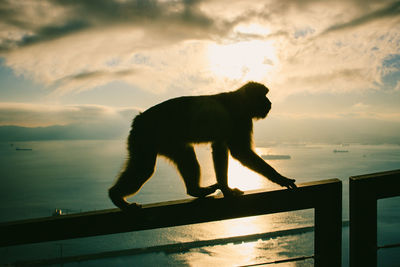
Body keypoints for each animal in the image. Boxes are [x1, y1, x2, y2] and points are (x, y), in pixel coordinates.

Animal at [109, 81, 296, 211]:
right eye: (263, 96)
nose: (270, 102)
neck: (239, 100)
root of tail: (138, 119)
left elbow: (220, 148)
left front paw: (226, 189)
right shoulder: (240, 119)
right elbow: (240, 152)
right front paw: (281, 179)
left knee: (182, 155)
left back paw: (195, 190)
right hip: (147, 137)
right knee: (145, 169)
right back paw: (115, 197)